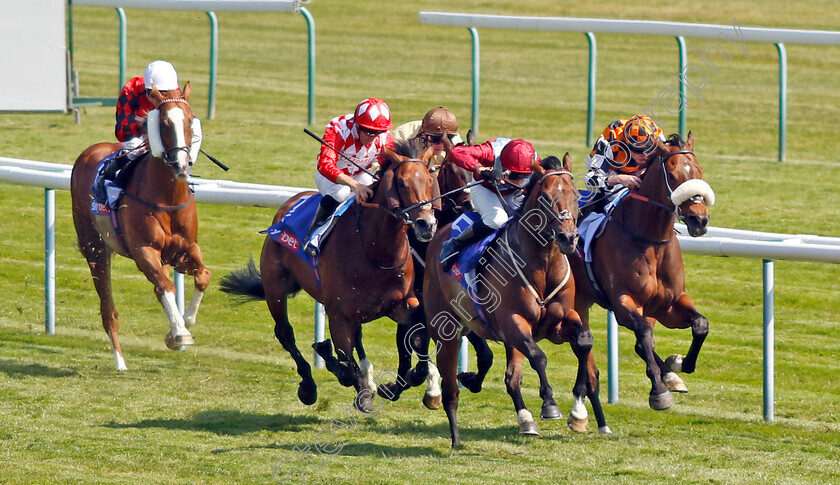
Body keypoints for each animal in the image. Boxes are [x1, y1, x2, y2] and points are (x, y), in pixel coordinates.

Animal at [70, 83, 212, 370]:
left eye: (190, 119)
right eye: (165, 122)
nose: (182, 165)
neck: (167, 197)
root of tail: (89, 151)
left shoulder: (184, 250)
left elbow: (202, 276)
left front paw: (181, 326)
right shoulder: (143, 250)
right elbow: (165, 287)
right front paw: (179, 334)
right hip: (95, 248)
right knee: (108, 308)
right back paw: (120, 361)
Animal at [217, 142, 440, 410]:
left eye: (430, 179)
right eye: (402, 182)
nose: (427, 224)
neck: (376, 250)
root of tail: (288, 205)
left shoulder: (402, 304)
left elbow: (416, 343)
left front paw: (394, 385)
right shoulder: (338, 313)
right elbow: (346, 362)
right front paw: (352, 379)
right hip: (275, 287)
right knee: (285, 332)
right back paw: (309, 386)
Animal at [424, 153, 608, 444]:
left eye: (574, 194)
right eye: (545, 197)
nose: (568, 237)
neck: (543, 265)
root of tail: (439, 236)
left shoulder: (560, 322)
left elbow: (584, 341)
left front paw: (578, 406)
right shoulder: (513, 322)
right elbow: (538, 357)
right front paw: (550, 405)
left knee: (509, 376)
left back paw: (521, 417)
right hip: (446, 331)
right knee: (451, 387)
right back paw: (455, 437)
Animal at [568, 131, 712, 408]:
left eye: (699, 171)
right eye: (673, 175)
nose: (699, 220)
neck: (650, 240)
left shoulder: (668, 303)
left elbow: (701, 324)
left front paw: (678, 364)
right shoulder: (624, 301)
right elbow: (643, 334)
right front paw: (659, 391)